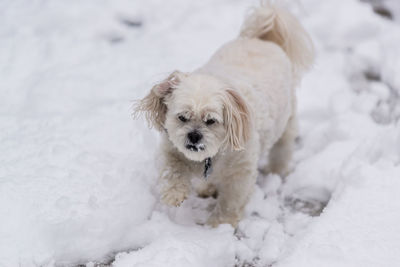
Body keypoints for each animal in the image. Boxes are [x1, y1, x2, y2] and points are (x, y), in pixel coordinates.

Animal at [135, 3, 316, 227]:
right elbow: (172, 168)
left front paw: (219, 224)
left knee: (283, 146)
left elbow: (231, 199)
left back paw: (277, 170)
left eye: (211, 121)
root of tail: (262, 39)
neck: (209, 157)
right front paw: (174, 193)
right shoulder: (172, 148)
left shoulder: (241, 171)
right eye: (182, 117)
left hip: (287, 120)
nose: (194, 135)